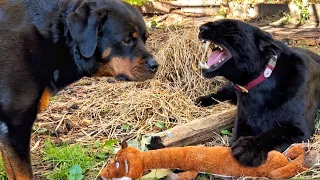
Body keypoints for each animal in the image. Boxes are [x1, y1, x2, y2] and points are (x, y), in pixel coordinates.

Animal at [195, 19, 320, 167]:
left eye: (230, 26)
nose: (201, 27)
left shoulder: (299, 128)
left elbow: (273, 134)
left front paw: (248, 148)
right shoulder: (243, 121)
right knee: (222, 93)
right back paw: (201, 101)